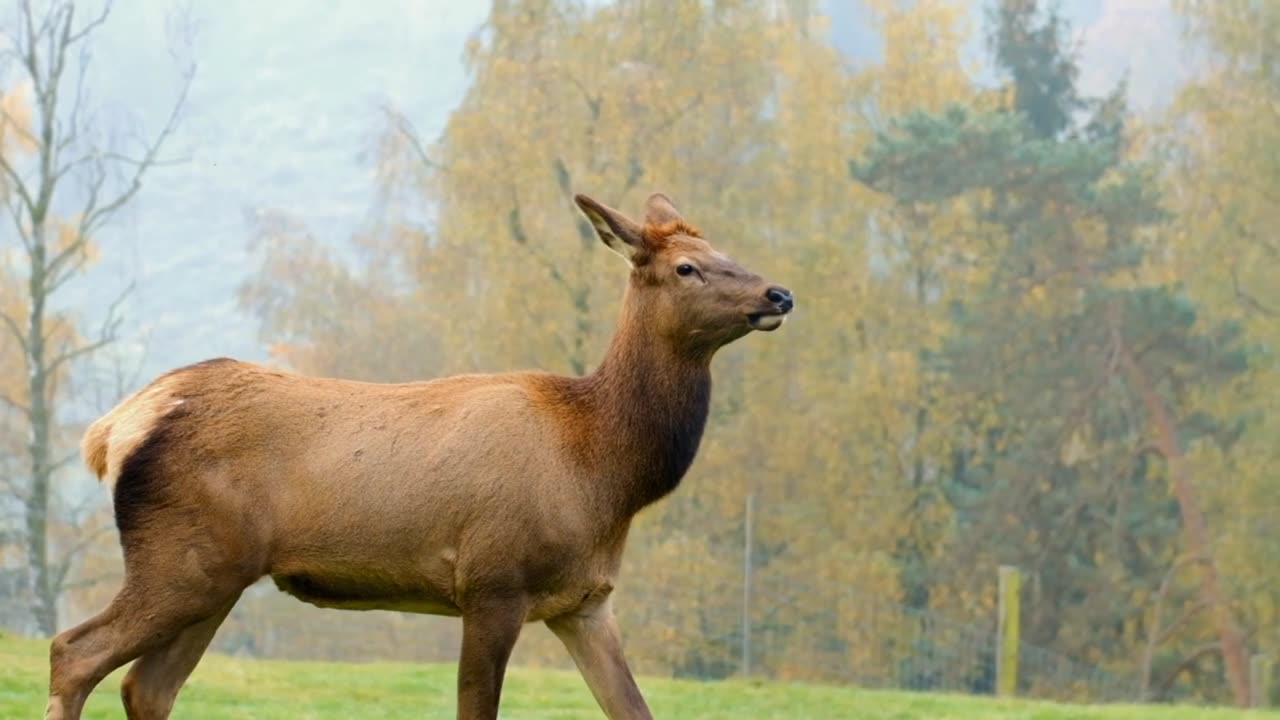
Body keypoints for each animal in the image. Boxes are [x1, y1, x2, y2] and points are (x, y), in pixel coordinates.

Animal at [42, 190, 788, 717]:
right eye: (687, 267)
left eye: (723, 248)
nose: (777, 292)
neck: (605, 471)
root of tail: (114, 428)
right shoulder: (493, 581)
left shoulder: (585, 602)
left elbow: (634, 709)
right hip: (180, 560)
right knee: (73, 652)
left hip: (218, 573)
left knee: (147, 688)